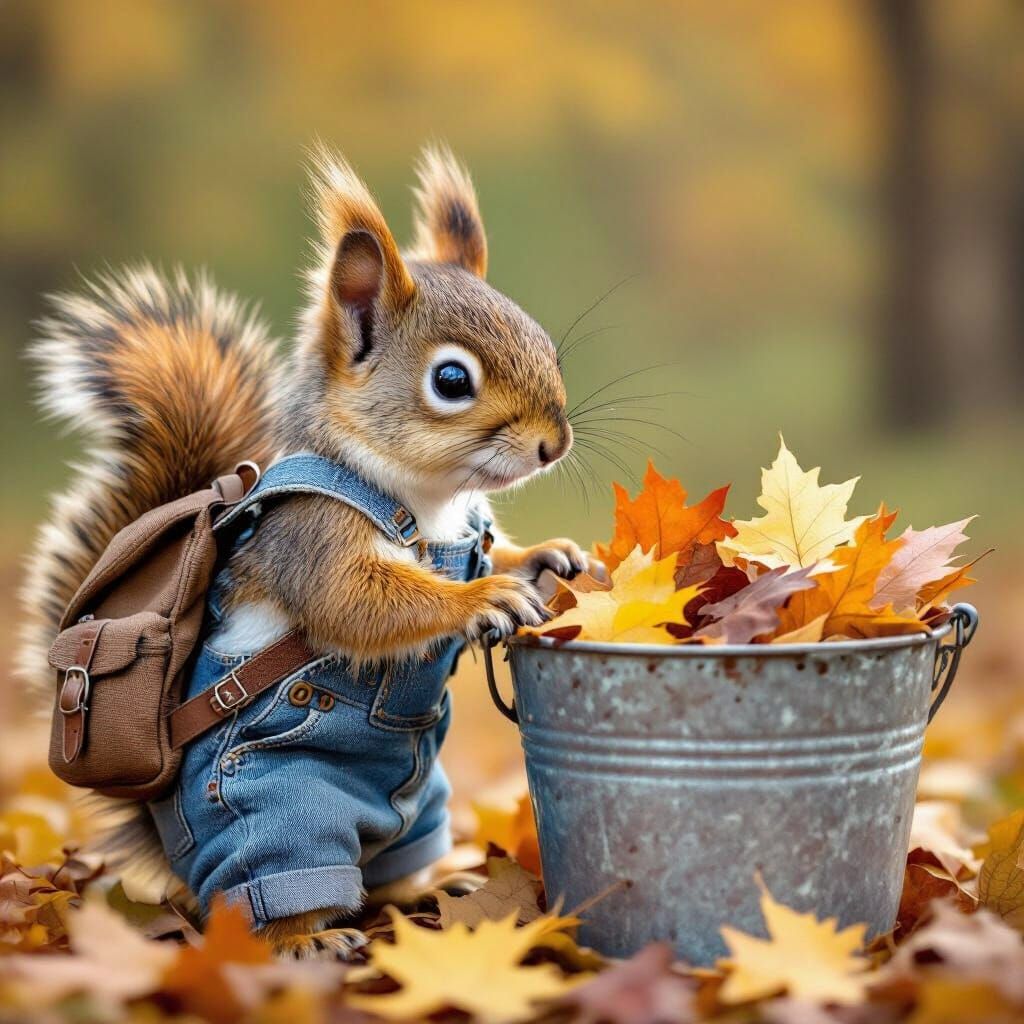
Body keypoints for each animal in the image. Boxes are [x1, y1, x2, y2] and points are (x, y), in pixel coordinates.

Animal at [19, 146, 596, 957]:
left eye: (545, 345)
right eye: (452, 379)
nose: (555, 443)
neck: (429, 501)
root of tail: (175, 855)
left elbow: (499, 550)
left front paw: (550, 556)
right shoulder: (310, 533)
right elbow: (356, 602)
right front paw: (482, 598)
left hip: (421, 811)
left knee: (385, 874)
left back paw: (438, 886)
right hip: (278, 813)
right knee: (271, 891)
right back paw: (307, 940)